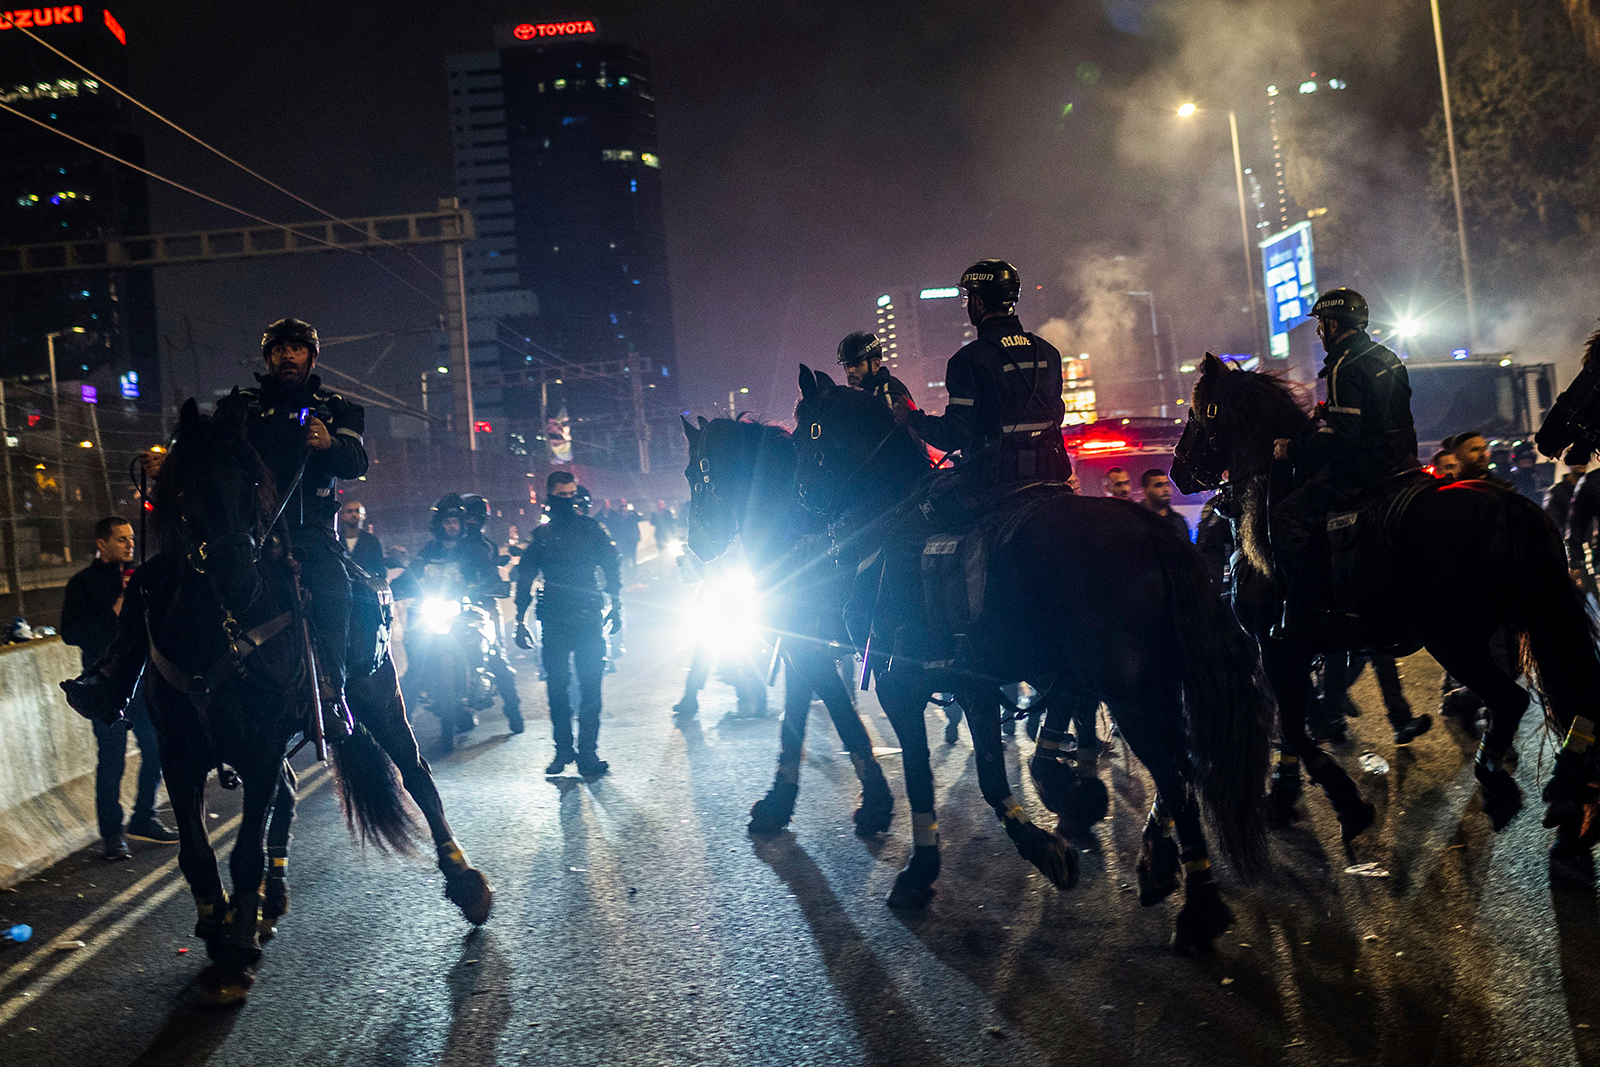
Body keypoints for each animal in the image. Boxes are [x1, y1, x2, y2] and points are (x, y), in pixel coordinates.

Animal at [134, 399, 489, 1011]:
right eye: (186, 485)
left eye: (252, 481)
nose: (238, 575)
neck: (217, 631)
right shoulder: (178, 752)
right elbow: (197, 854)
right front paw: (219, 926)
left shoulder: (258, 747)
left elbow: (243, 853)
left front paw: (233, 955)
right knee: (291, 788)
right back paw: (266, 902)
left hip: (377, 691)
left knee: (416, 773)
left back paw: (465, 882)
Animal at [678, 415, 896, 831]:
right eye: (687, 475)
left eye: (698, 476)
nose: (695, 544)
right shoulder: (797, 651)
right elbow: (792, 725)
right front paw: (778, 803)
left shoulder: (808, 651)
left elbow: (844, 720)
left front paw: (876, 802)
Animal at [790, 369, 1273, 953]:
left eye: (808, 433)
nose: (799, 507)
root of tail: (1152, 528)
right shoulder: (977, 682)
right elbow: (993, 773)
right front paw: (1052, 836)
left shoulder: (899, 684)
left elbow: (924, 776)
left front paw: (920, 870)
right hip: (1152, 684)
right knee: (1181, 770)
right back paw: (1161, 865)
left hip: (1129, 692)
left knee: (1177, 777)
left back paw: (1199, 907)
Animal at [1164, 355, 1600, 870]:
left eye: (1195, 414)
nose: (1175, 471)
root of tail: (1510, 504)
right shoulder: (1299, 650)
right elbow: (1295, 724)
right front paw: (1286, 794)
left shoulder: (1276, 646)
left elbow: (1293, 727)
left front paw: (1345, 803)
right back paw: (1568, 806)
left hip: (1454, 640)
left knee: (1509, 700)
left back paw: (1500, 786)